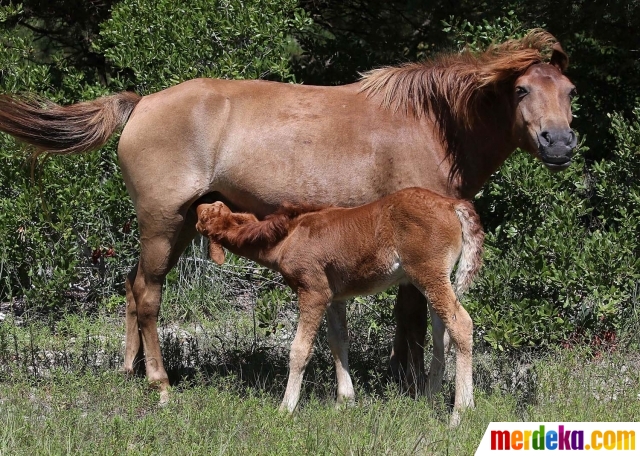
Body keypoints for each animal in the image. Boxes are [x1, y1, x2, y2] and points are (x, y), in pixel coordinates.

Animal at [196, 186, 484, 424]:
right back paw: (428, 398)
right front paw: (344, 402)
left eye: (203, 220)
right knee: (441, 334)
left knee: (461, 324)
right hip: (432, 279)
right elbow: (338, 341)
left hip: (428, 274)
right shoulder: (335, 297)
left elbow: (300, 349)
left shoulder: (313, 292)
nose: (200, 205)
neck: (288, 237)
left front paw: (285, 409)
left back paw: (461, 412)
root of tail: (451, 204)